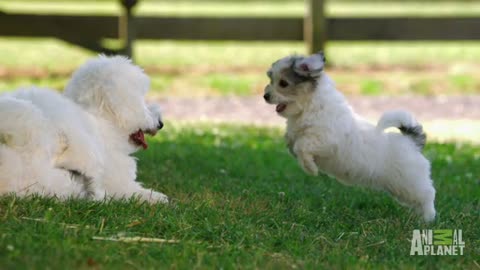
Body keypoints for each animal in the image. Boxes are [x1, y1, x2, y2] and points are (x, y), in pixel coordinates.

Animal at [0, 54, 169, 202]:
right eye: (142, 101)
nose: (161, 123)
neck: (102, 123)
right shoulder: (117, 181)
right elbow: (134, 191)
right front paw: (159, 198)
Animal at [264, 52, 436, 221]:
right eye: (271, 80)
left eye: (283, 83)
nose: (265, 96)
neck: (308, 106)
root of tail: (411, 142)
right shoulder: (296, 135)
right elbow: (292, 143)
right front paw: (303, 160)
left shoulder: (324, 139)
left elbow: (302, 146)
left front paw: (311, 168)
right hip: (400, 187)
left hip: (411, 181)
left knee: (427, 195)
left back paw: (428, 218)